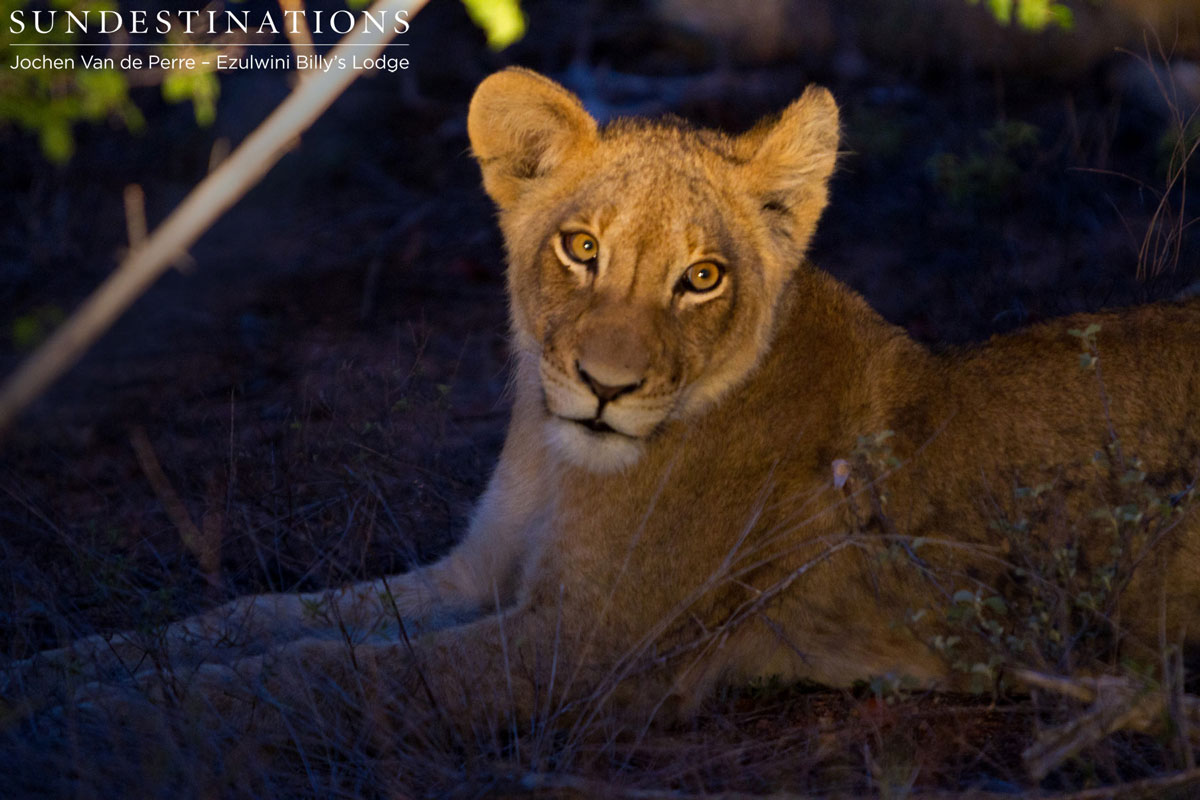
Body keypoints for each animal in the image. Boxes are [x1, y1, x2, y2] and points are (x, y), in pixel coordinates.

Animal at [9, 68, 1200, 737]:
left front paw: (98, 725)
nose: (606, 387)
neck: (557, 455)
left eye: (703, 277)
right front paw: (61, 669)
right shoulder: (477, 572)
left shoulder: (591, 649)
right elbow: (261, 620)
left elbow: (316, 675)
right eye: (581, 249)